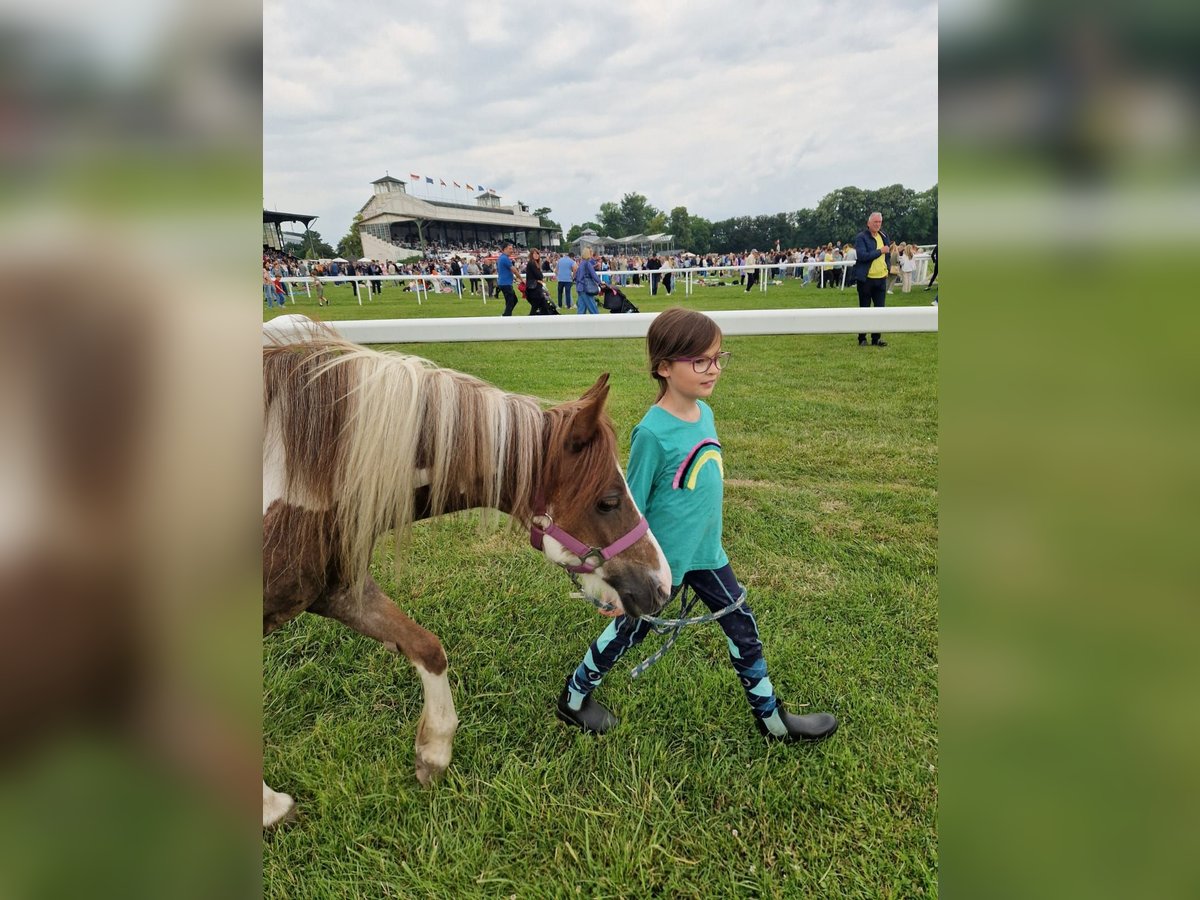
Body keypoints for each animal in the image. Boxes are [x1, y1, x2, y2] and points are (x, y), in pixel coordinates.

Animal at [262, 322, 672, 827]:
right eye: (609, 501)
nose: (662, 585)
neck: (303, 470)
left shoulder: (337, 589)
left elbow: (427, 647)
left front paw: (433, 753)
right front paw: (268, 806)